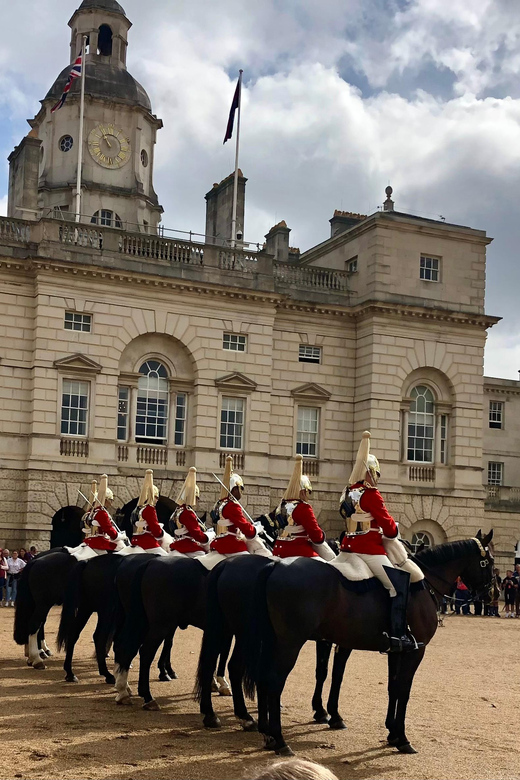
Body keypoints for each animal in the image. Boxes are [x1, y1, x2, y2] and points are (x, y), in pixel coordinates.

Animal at [240, 532, 492, 756]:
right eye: (487, 562)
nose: (492, 594)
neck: (423, 584)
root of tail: (275, 566)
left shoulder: (396, 650)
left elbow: (391, 686)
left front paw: (391, 732)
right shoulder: (416, 651)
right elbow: (403, 690)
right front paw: (402, 738)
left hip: (273, 641)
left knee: (263, 678)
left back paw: (267, 733)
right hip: (289, 643)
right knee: (273, 681)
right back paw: (279, 739)